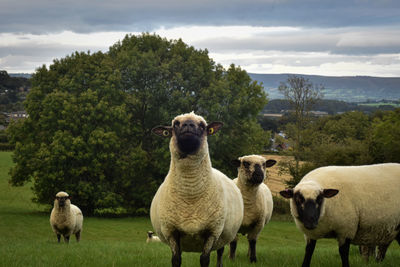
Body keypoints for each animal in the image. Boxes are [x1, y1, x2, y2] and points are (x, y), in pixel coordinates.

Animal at [150, 112, 244, 267]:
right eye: (175, 123)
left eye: (202, 125)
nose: (188, 125)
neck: (191, 193)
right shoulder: (171, 231)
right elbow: (176, 259)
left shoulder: (213, 231)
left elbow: (204, 259)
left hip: (223, 236)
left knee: (220, 253)